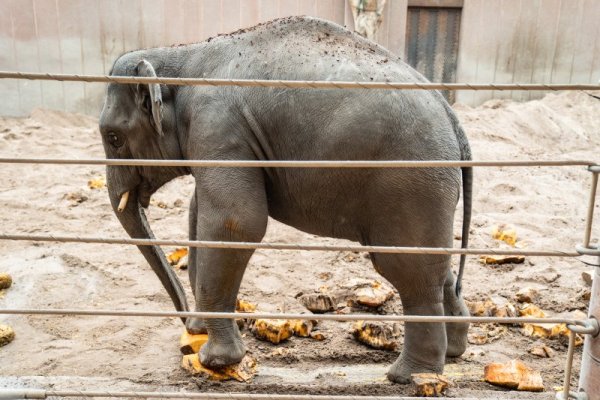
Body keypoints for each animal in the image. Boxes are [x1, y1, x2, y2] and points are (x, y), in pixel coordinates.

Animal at [99, 16, 474, 384]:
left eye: (113, 137)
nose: (186, 326)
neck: (180, 55)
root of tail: (452, 117)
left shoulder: (218, 126)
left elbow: (235, 224)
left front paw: (214, 361)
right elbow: (199, 213)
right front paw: (200, 335)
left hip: (410, 183)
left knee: (408, 269)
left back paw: (408, 375)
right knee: (438, 270)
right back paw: (452, 352)